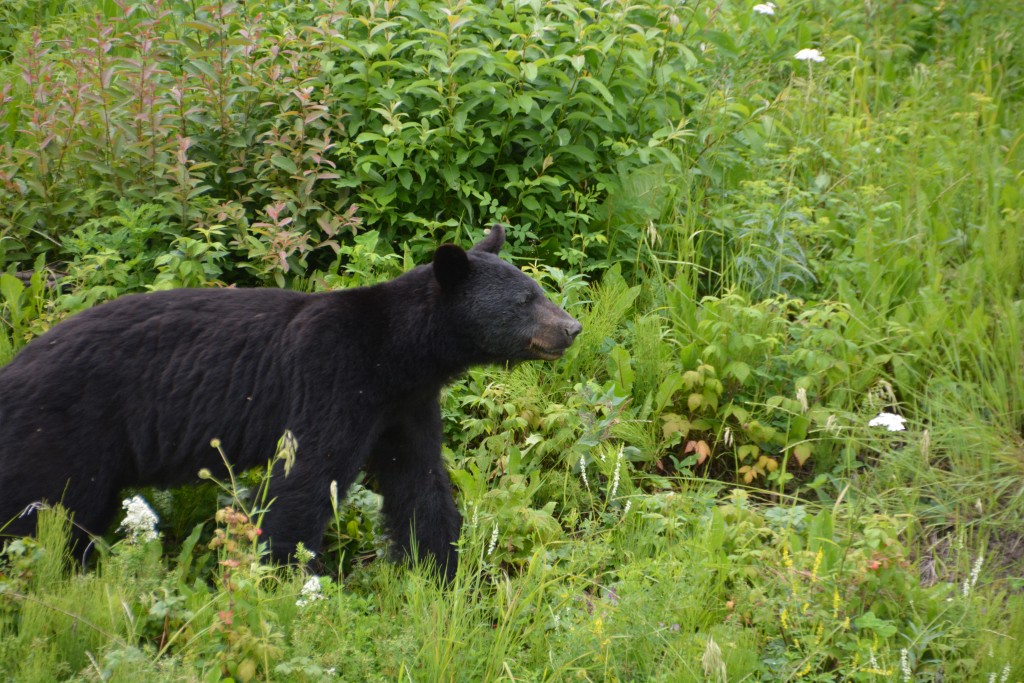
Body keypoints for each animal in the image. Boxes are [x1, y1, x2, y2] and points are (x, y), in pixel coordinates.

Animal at [0, 224, 581, 580]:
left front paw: (445, 573)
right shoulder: (334, 376)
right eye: (525, 300)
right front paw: (286, 580)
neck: (397, 351)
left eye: (537, 290)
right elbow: (307, 477)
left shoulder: (406, 404)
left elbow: (420, 482)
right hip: (66, 431)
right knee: (41, 514)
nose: (572, 328)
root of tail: (13, 369)